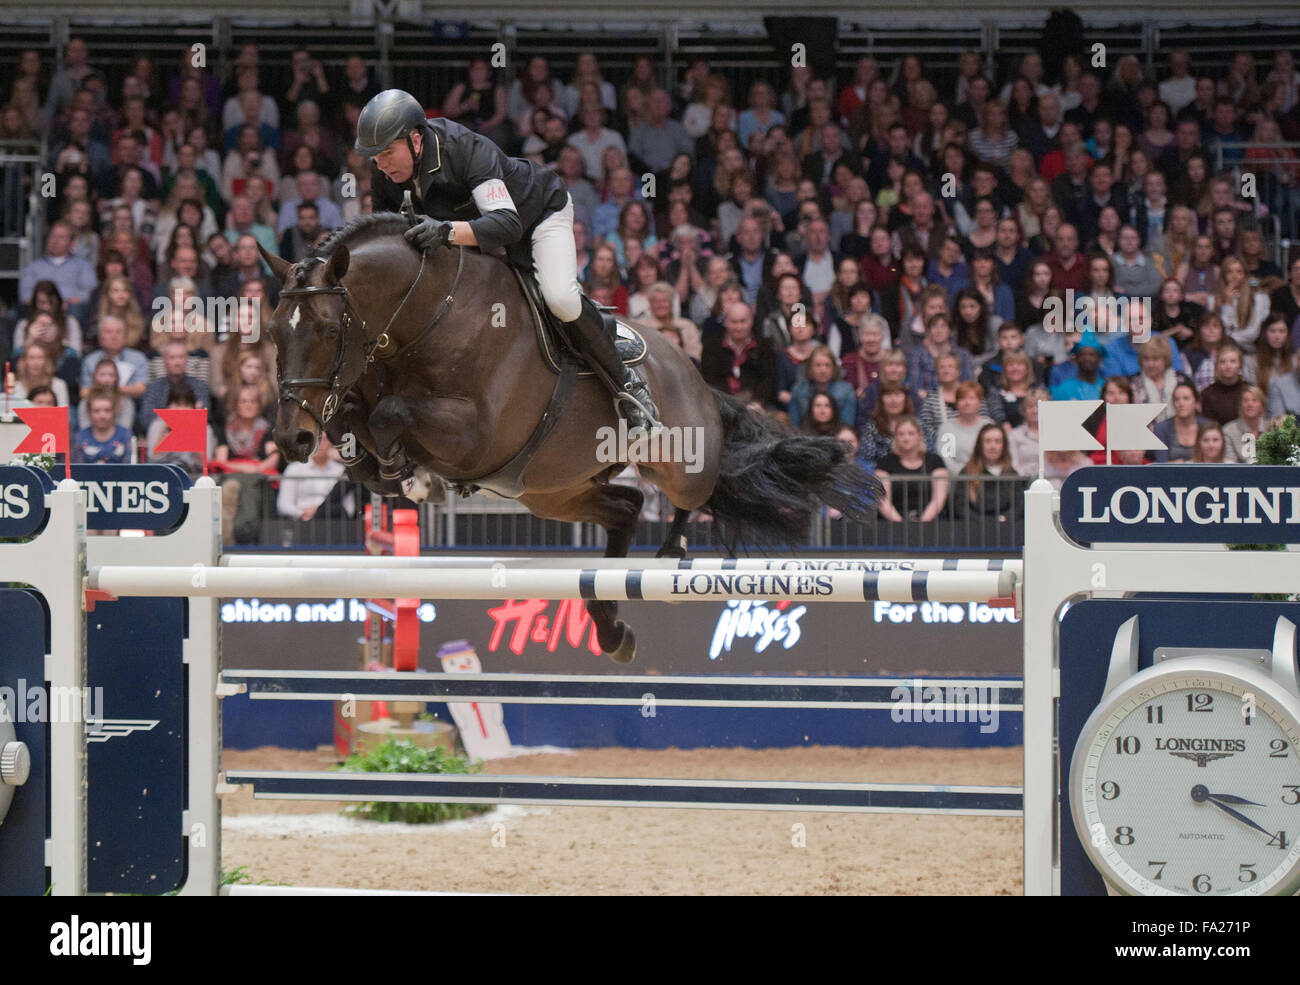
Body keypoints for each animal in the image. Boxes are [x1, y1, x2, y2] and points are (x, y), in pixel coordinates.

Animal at [260, 215, 878, 662]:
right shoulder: (362, 398)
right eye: (271, 331)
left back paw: (671, 551)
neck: (425, 312)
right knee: (625, 507)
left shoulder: (476, 432)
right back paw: (611, 629)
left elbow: (390, 416)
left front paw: (412, 478)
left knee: (693, 493)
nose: (292, 440)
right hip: (552, 492)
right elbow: (356, 425)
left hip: (676, 460)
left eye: (326, 329)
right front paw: (392, 473)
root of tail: (694, 370)